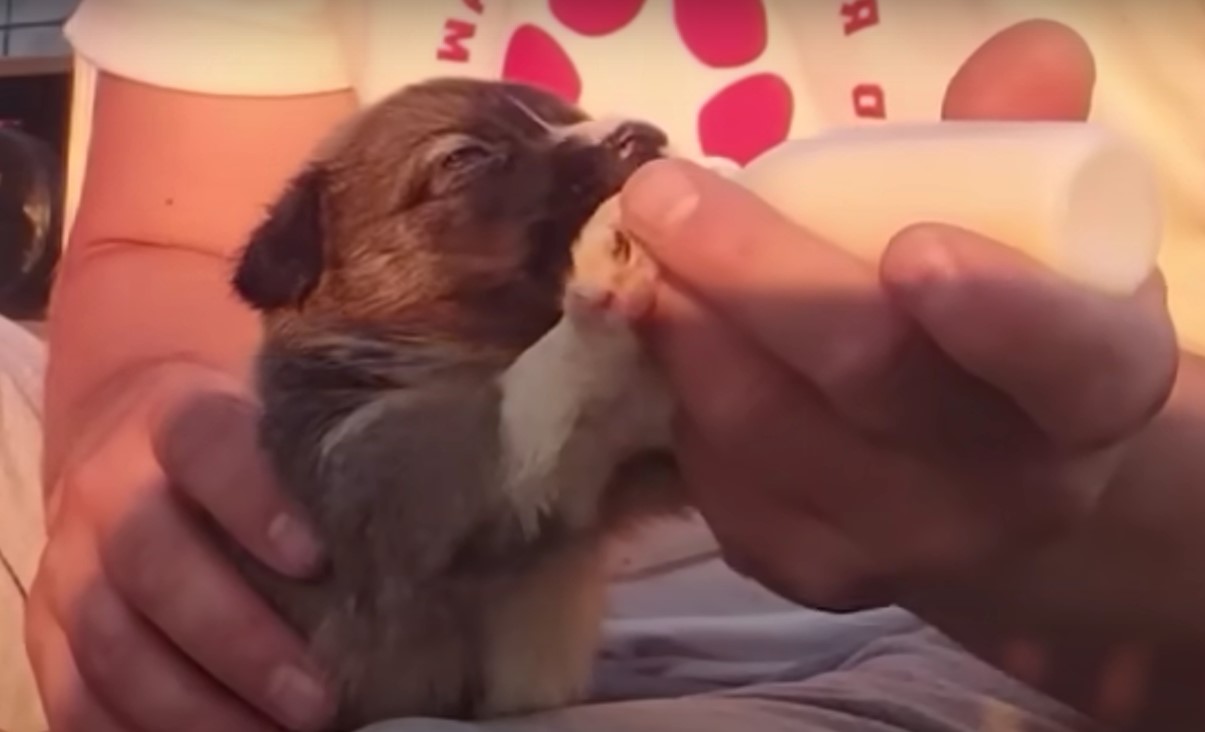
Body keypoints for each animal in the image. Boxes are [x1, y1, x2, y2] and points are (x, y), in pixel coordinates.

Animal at [225, 77, 694, 728]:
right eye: (465, 158)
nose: (646, 134)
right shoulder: (395, 480)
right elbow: (511, 402)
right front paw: (611, 265)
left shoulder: (606, 482)